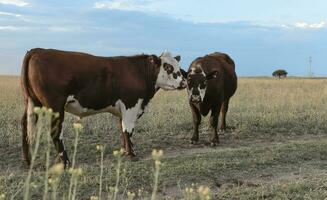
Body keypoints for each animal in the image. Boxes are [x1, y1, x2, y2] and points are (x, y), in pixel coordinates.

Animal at [21, 48, 187, 167]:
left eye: (178, 66)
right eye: (168, 67)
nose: (184, 82)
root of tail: (38, 50)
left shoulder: (123, 110)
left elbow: (122, 130)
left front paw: (125, 152)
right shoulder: (130, 105)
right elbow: (128, 130)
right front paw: (132, 155)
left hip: (32, 103)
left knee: (25, 127)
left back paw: (28, 160)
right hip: (55, 106)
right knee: (55, 133)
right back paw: (66, 162)